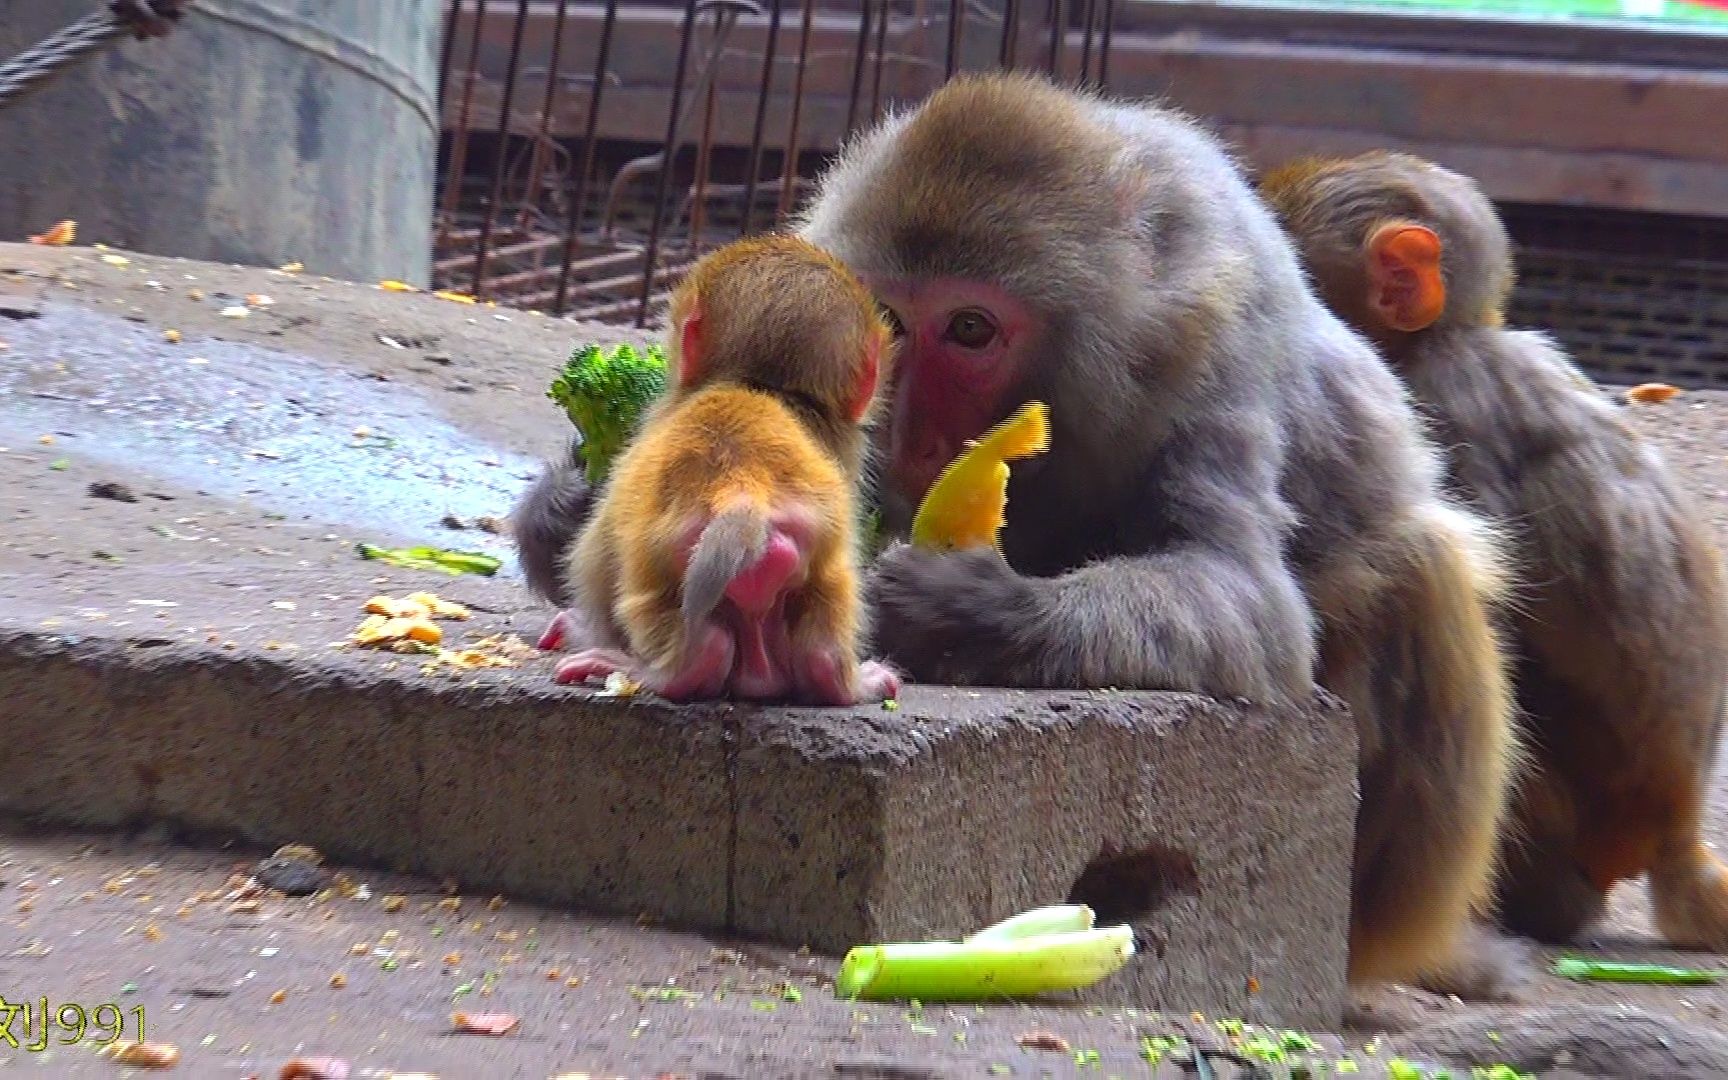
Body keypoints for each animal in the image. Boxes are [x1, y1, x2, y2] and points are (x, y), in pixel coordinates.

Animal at [514, 73, 1527, 995]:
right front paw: (570, 503)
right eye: (895, 320)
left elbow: (1251, 603)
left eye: (971, 329)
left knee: (1416, 563)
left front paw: (957, 608)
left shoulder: (1219, 347)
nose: (915, 432)